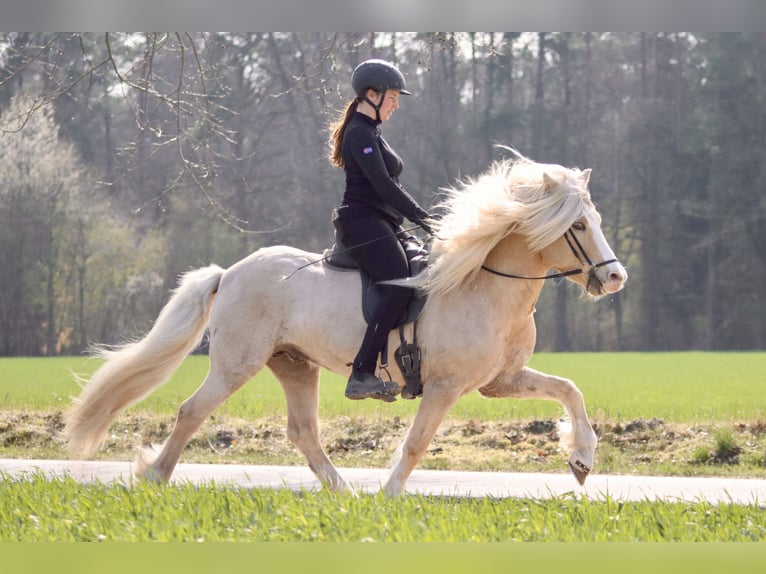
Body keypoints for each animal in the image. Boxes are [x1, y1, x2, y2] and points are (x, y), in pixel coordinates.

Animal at [64, 152, 628, 496]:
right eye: (578, 225)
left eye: (596, 220)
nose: (616, 277)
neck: (485, 287)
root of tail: (231, 272)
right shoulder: (444, 387)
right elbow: (418, 441)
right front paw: (391, 494)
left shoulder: (500, 381)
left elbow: (569, 389)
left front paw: (582, 459)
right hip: (236, 364)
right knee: (191, 412)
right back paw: (155, 477)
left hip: (294, 365)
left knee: (303, 432)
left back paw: (342, 493)